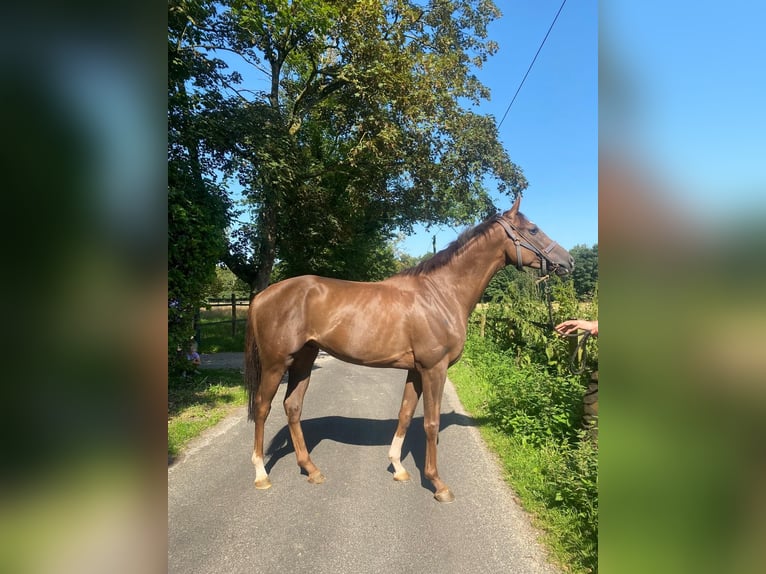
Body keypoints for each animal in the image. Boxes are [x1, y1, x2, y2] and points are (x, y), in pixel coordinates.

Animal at [246, 196, 576, 502]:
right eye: (533, 229)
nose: (569, 262)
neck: (440, 294)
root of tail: (263, 295)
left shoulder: (416, 371)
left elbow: (405, 413)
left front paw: (399, 468)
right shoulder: (434, 368)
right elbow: (431, 423)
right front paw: (437, 483)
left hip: (304, 359)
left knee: (292, 407)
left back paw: (311, 469)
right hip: (276, 363)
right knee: (262, 407)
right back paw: (261, 474)